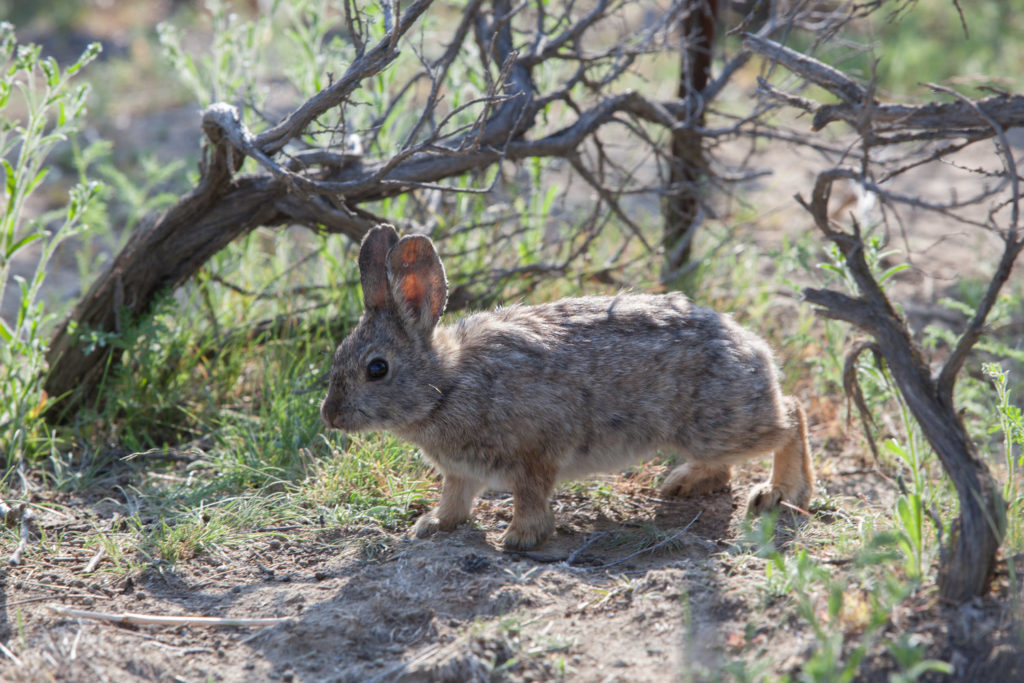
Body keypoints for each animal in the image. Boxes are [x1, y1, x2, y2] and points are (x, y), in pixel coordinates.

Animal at [319, 224, 815, 548]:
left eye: (377, 369)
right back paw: (685, 482)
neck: (447, 384)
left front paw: (519, 538)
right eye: (339, 354)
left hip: (716, 424)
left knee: (792, 415)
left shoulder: (534, 453)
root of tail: (754, 347)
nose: (330, 415)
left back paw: (780, 492)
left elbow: (531, 497)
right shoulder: (461, 471)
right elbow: (454, 500)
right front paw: (432, 526)